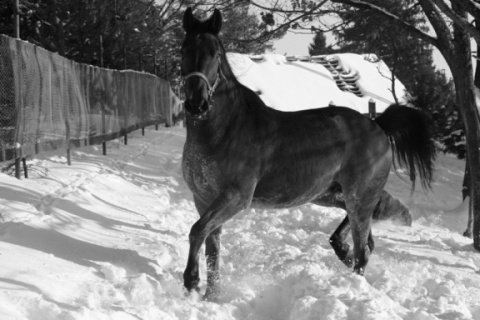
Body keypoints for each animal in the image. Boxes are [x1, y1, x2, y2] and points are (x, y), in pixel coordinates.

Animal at [179, 7, 436, 300]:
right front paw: (211, 296)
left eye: (216, 54)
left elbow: (197, 231)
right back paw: (344, 255)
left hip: (359, 196)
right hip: (333, 195)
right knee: (363, 241)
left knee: (363, 251)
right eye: (183, 50)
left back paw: (354, 284)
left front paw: (190, 281)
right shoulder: (203, 198)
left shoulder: (235, 197)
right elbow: (212, 246)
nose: (197, 104)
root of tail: (377, 125)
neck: (224, 129)